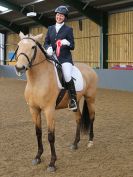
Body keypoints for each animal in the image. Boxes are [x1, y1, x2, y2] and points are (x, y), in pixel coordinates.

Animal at [14, 31, 97, 171]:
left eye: (33, 47)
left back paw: (90, 141)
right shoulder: (34, 109)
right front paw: (37, 157)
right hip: (75, 102)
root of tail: (90, 68)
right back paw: (75, 143)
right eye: (18, 46)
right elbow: (38, 132)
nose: (20, 67)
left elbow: (50, 136)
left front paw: (52, 163)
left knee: (91, 117)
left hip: (90, 98)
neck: (37, 80)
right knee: (78, 118)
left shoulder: (49, 110)